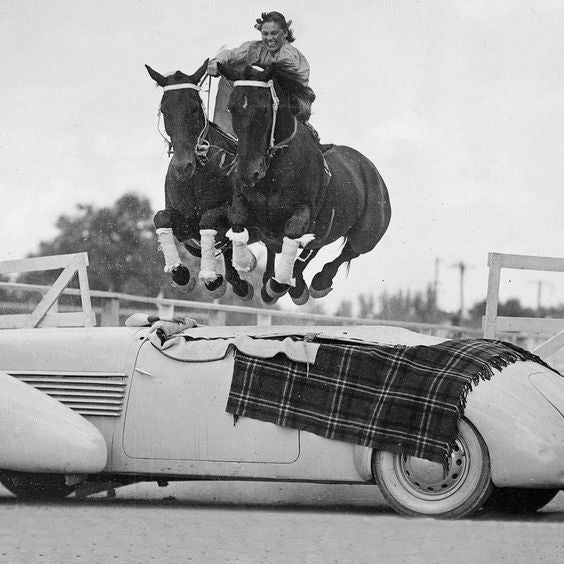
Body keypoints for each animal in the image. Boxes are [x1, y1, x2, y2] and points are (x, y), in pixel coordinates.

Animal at [148, 59, 258, 302]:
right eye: (165, 109)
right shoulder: (183, 222)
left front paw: (213, 279)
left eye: (193, 108)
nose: (183, 166)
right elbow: (162, 218)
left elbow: (209, 220)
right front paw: (181, 275)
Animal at [218, 62, 390, 304]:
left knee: (348, 251)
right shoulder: (247, 203)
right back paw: (284, 283)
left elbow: (293, 232)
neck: (274, 170)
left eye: (264, 109)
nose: (247, 173)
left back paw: (314, 282)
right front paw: (245, 263)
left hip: (369, 232)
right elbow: (237, 217)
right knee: (305, 250)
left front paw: (278, 283)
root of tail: (371, 170)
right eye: (231, 107)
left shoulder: (304, 212)